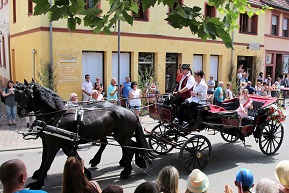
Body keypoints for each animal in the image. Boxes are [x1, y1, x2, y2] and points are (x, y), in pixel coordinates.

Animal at [15, 80, 153, 190]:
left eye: (23, 95)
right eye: (16, 95)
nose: (19, 112)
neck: (58, 114)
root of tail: (131, 111)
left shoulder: (54, 145)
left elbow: (47, 162)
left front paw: (38, 183)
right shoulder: (61, 143)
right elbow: (71, 156)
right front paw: (85, 173)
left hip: (122, 136)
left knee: (130, 149)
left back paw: (126, 171)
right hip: (118, 136)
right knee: (131, 146)